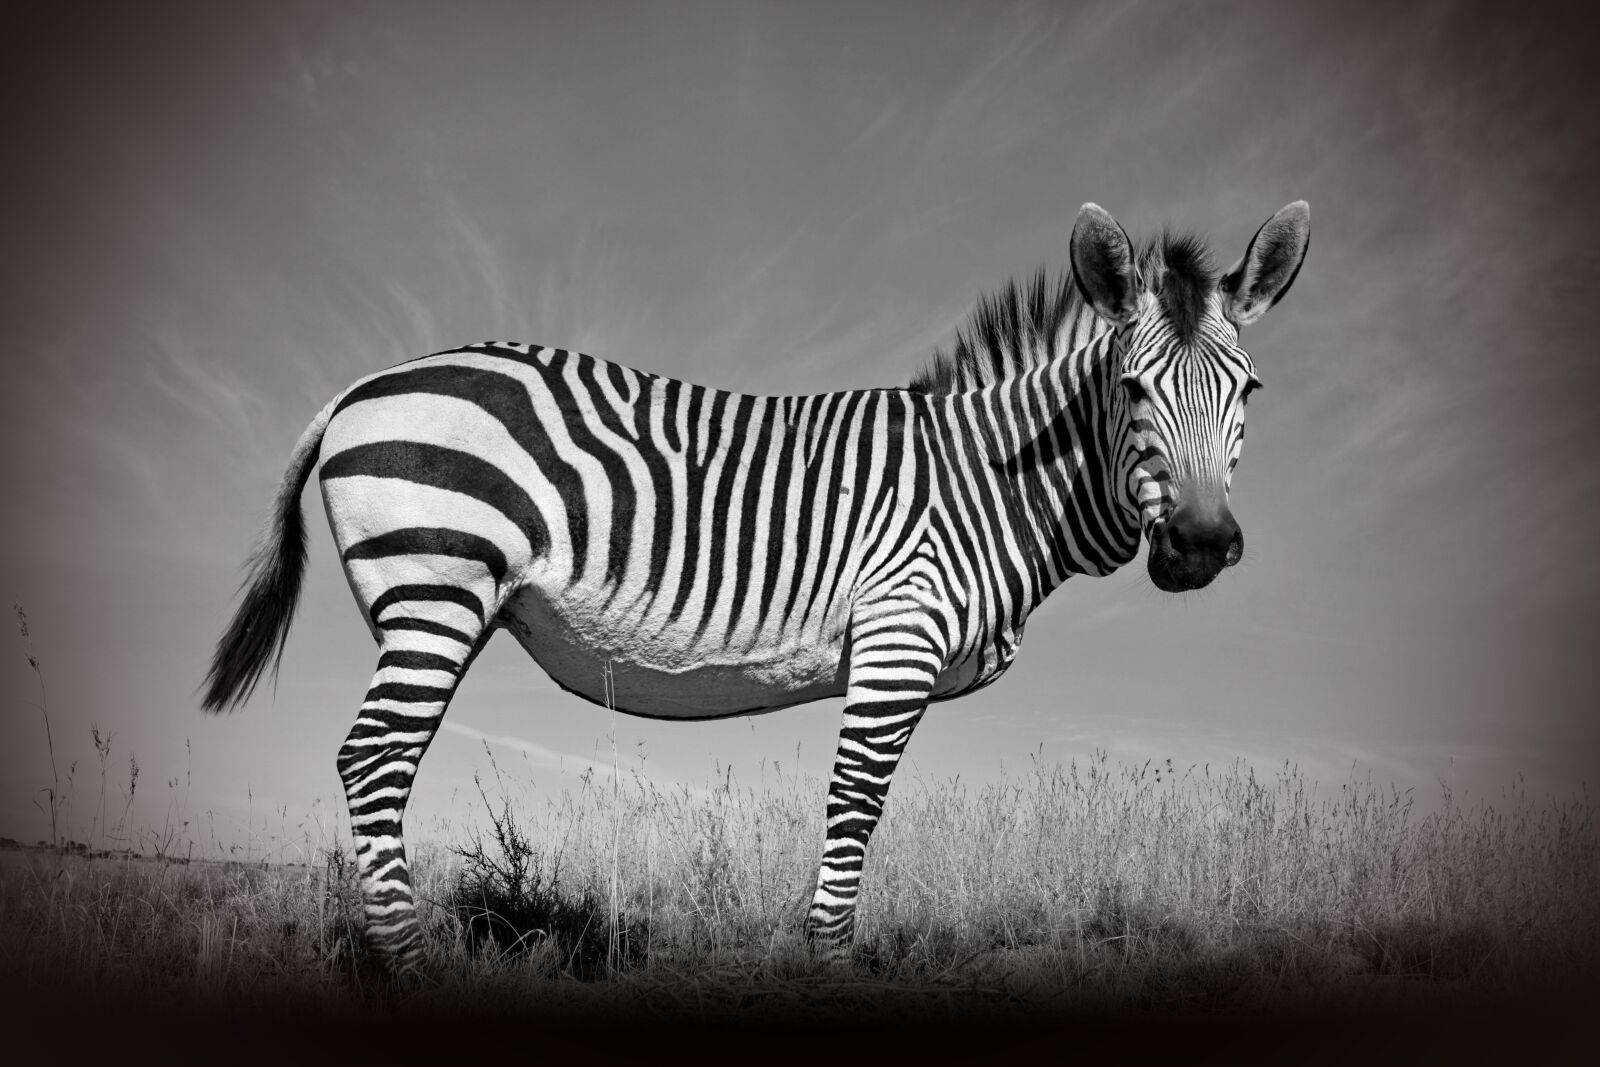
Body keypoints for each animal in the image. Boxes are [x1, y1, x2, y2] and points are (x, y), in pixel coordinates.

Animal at [203, 201, 1310, 973]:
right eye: (1131, 388)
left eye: (1249, 391)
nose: (1200, 546)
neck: (990, 481)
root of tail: (363, 385)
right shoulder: (898, 630)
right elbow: (856, 799)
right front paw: (830, 965)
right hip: (435, 584)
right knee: (373, 759)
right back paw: (412, 968)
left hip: (437, 602)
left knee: (379, 760)